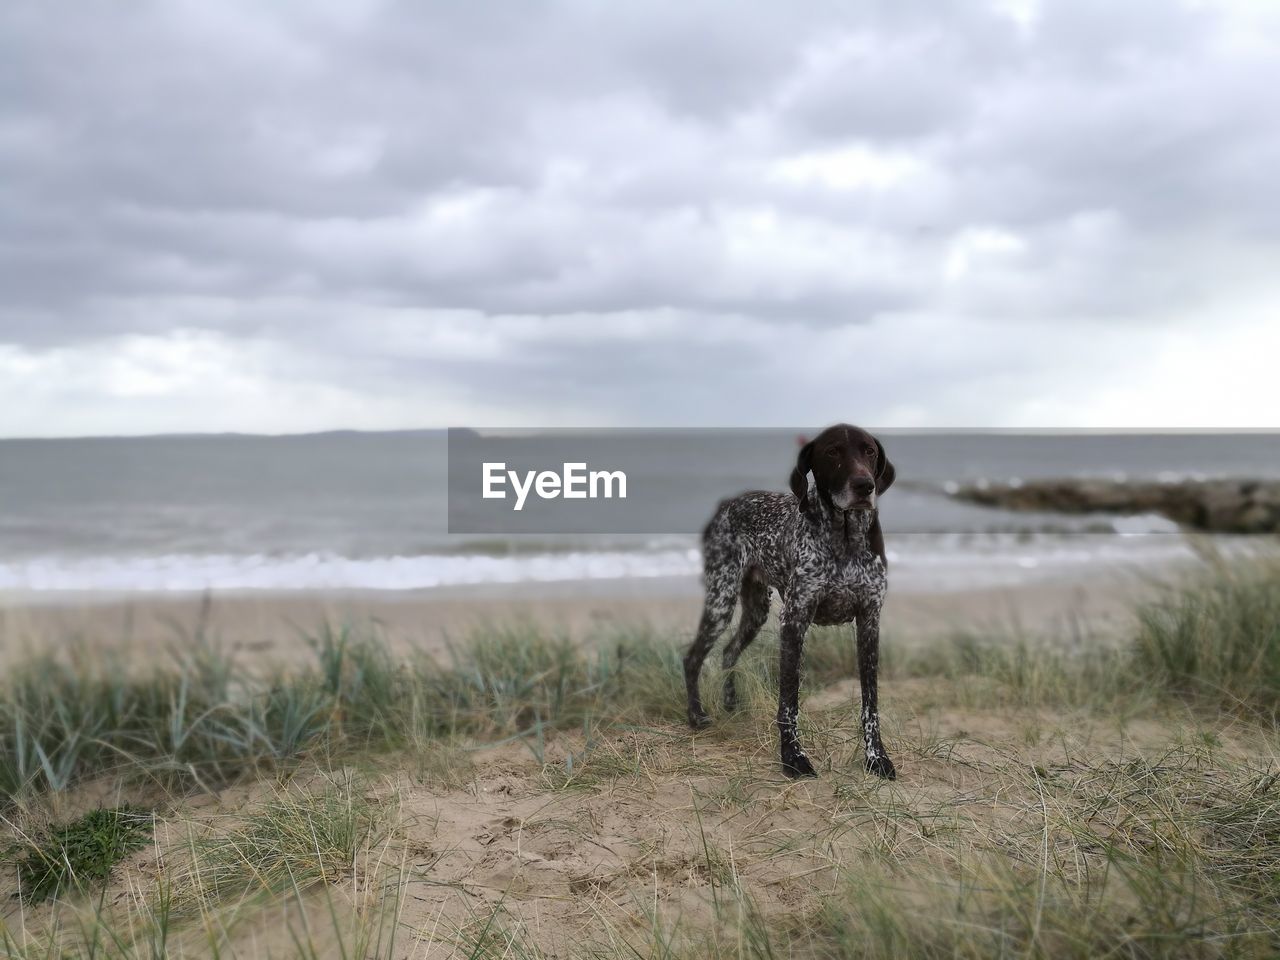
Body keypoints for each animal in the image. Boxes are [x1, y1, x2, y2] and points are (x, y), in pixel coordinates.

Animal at [680, 427, 901, 783]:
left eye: (869, 451)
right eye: (832, 452)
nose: (864, 486)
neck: (844, 538)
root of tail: (728, 502)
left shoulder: (870, 621)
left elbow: (871, 703)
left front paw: (876, 757)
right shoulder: (795, 620)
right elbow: (789, 702)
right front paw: (793, 758)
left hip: (756, 609)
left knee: (729, 652)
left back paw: (732, 706)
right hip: (721, 600)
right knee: (693, 657)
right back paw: (697, 716)